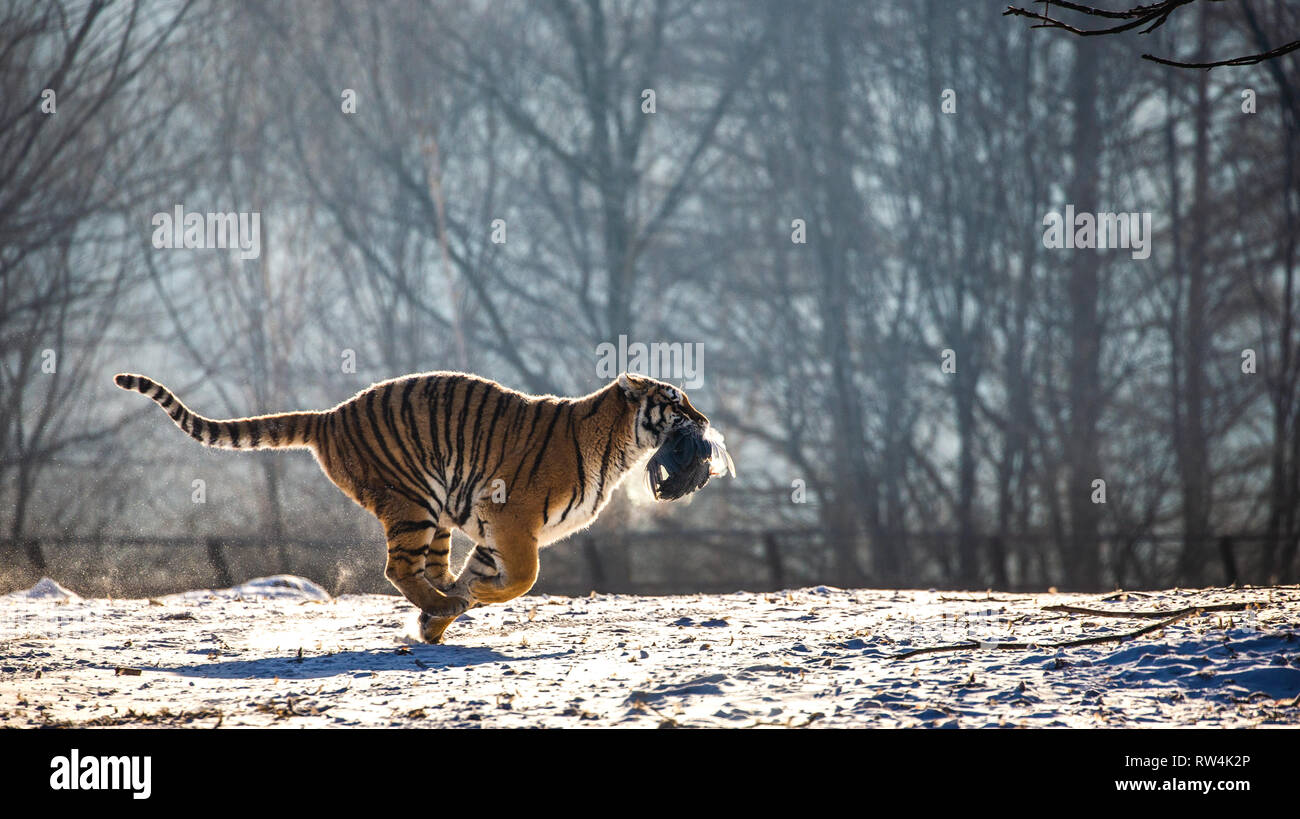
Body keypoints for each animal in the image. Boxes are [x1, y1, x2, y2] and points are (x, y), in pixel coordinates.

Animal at [115, 369, 733, 644]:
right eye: (676, 402)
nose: (705, 420)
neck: (621, 447)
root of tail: (330, 415)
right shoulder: (511, 518)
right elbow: (524, 578)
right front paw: (466, 602)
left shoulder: (492, 531)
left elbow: (485, 574)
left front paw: (447, 612)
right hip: (415, 499)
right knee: (399, 567)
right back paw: (440, 606)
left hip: (437, 514)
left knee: (428, 568)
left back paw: (437, 612)